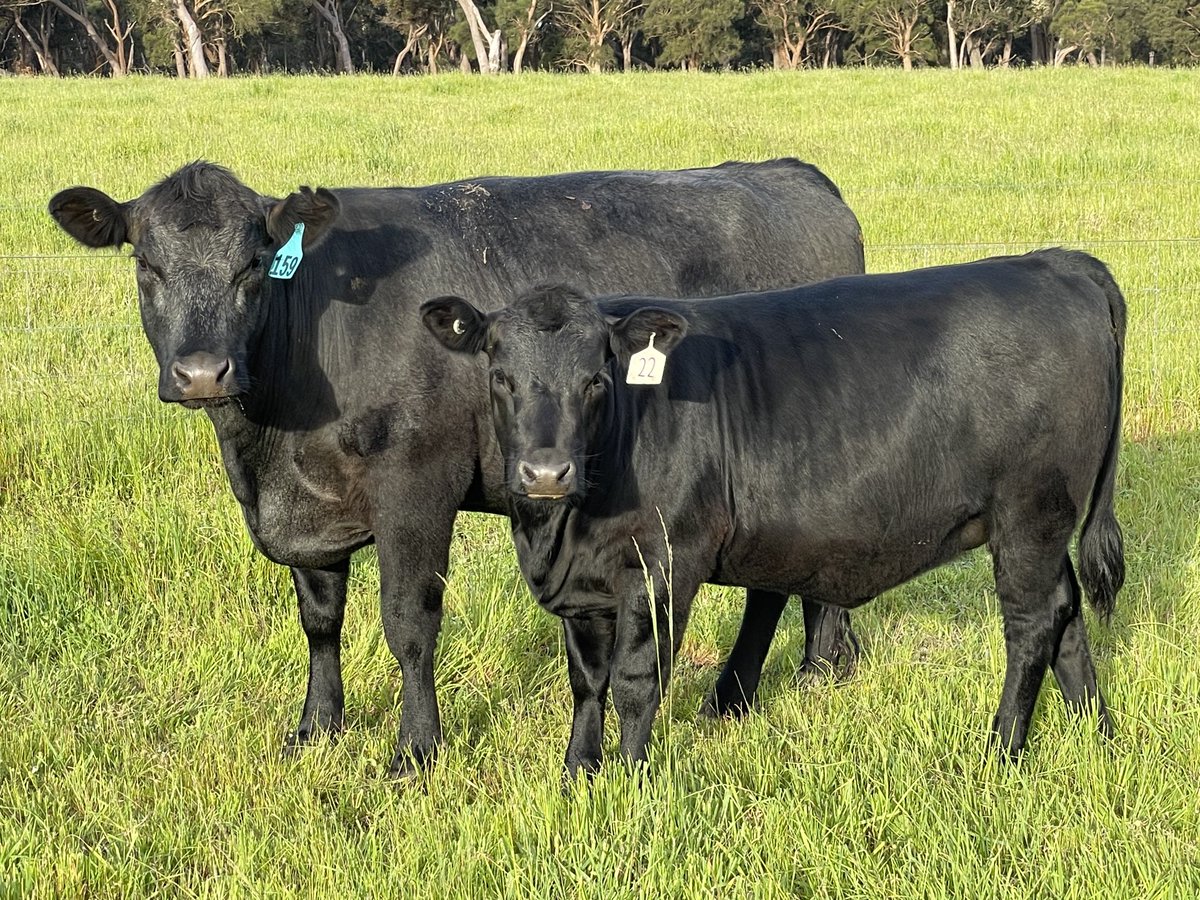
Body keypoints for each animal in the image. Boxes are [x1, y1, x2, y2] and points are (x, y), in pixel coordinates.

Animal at [48, 158, 866, 777]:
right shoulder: (310, 506)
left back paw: (798, 676)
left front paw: (414, 752)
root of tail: (786, 172)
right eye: (146, 265)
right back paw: (776, 681)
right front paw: (317, 727)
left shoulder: (417, 486)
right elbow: (319, 619)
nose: (201, 373)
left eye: (253, 267)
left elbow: (408, 622)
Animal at [421, 249, 1126, 779]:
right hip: (1044, 522)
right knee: (1066, 612)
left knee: (1031, 625)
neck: (562, 531)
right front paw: (577, 773)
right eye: (501, 376)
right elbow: (587, 682)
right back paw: (1096, 729)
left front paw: (629, 781)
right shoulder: (586, 584)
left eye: (596, 379)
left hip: (1030, 512)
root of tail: (1056, 262)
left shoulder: (664, 564)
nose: (546, 472)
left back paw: (1002, 750)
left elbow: (635, 679)